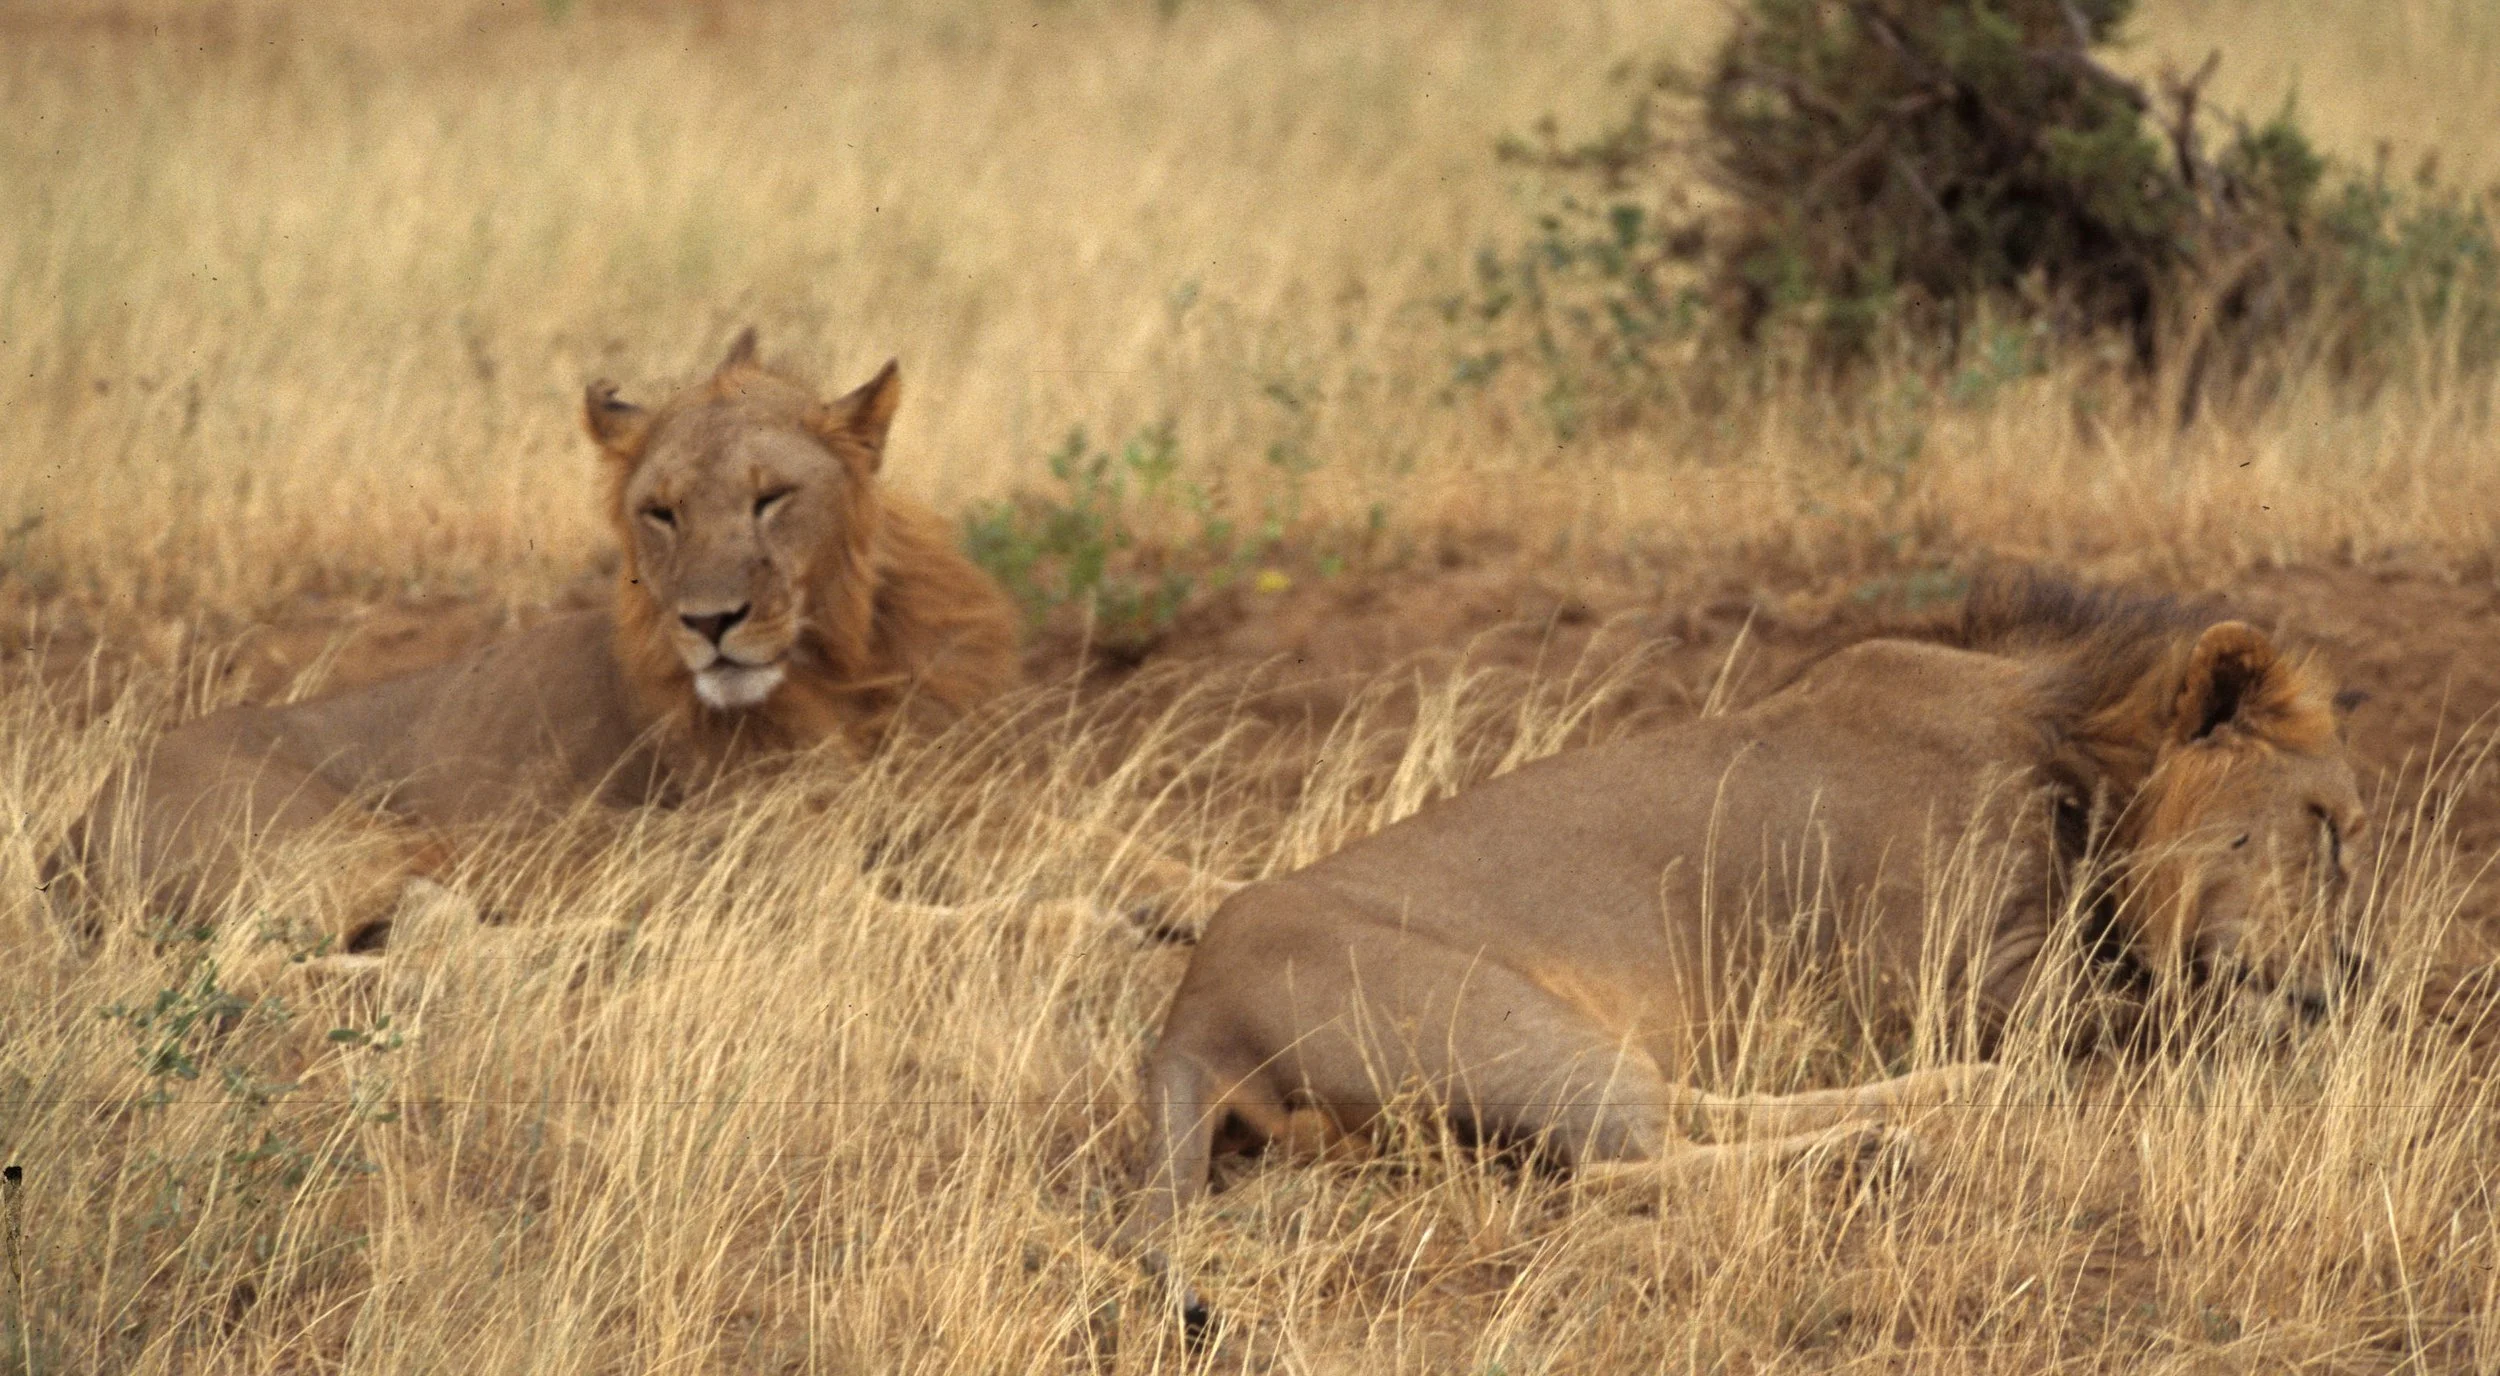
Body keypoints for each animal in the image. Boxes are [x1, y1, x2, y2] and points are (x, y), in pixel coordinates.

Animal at [51, 330, 1062, 973]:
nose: (709, 622)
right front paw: (1078, 926)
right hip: (331, 847)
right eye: (662, 513)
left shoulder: (963, 821)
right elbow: (1013, 921)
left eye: (771, 498)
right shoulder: (801, 888)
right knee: (264, 969)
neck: (848, 669)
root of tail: (72, 829)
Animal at [1126, 573, 2370, 1335]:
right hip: (1504, 1019)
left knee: (1691, 1109)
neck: (2078, 760)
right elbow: (2170, 1018)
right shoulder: (1973, 979)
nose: (2343, 985)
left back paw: (1935, 1106)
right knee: (1617, 1163)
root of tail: (1188, 1018)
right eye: (2325, 820)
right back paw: (1878, 1148)